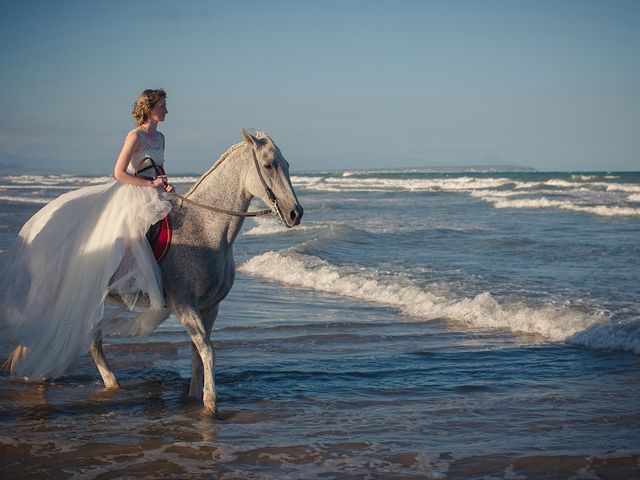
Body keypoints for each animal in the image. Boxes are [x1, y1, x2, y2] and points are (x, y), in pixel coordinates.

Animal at [89, 129, 302, 414]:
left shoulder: (209, 307)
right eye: (269, 165)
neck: (204, 228)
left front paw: (193, 397)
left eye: (287, 164)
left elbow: (197, 353)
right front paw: (210, 403)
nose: (295, 213)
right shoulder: (184, 306)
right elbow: (208, 351)